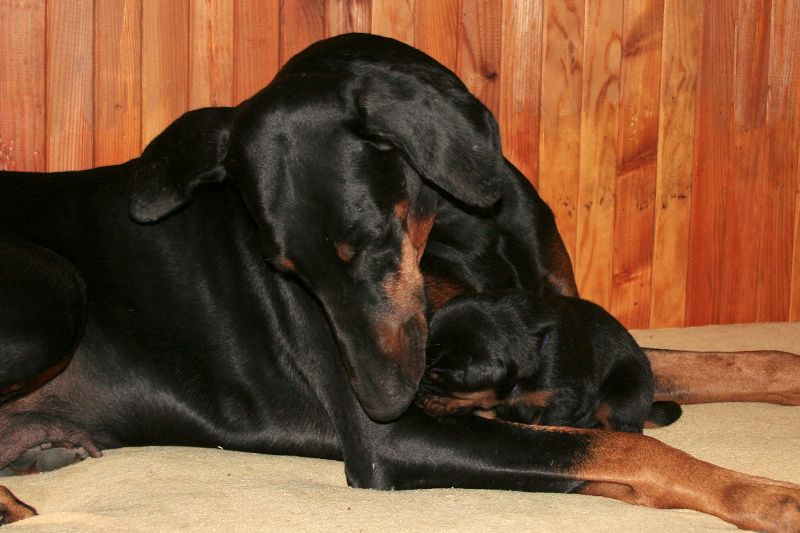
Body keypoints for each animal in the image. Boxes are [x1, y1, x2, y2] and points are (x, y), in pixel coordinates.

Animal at [1, 33, 799, 531]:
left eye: (373, 247)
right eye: (288, 274)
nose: (383, 402)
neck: (466, 231)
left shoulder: (578, 330)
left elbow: (753, 360)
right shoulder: (403, 435)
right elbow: (622, 448)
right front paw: (763, 493)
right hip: (56, 286)